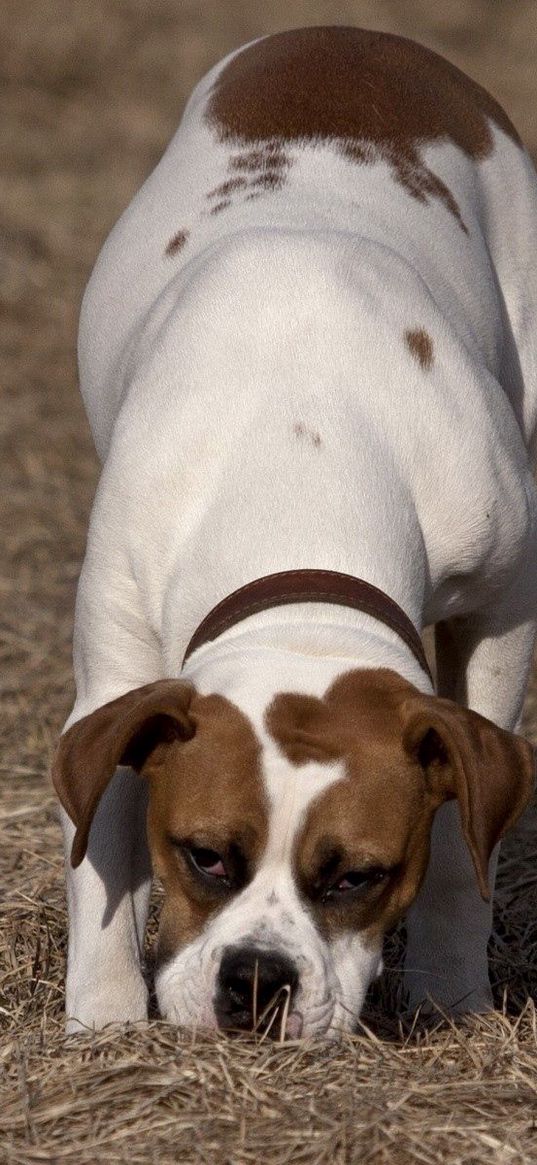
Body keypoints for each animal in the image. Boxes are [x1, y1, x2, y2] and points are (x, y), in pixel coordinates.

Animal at [52, 27, 535, 1034]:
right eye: (202, 854)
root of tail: (352, 36)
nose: (257, 979)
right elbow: (100, 860)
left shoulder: (502, 615)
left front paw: (450, 994)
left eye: (357, 875)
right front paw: (104, 1023)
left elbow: (462, 857)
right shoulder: (112, 682)